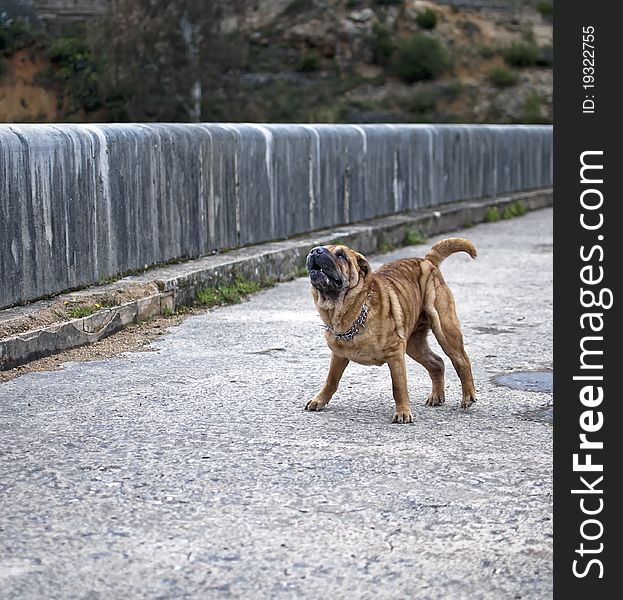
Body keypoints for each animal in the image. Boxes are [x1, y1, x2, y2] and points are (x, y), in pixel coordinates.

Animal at [306, 237, 478, 424]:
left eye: (340, 255)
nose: (315, 251)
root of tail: (427, 261)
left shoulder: (395, 354)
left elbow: (399, 386)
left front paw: (403, 412)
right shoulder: (339, 355)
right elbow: (331, 380)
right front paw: (319, 400)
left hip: (445, 329)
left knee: (461, 361)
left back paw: (468, 396)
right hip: (415, 345)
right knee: (437, 362)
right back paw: (436, 396)